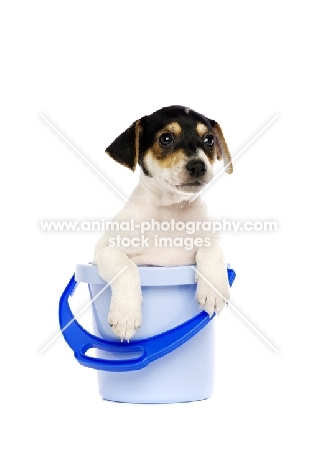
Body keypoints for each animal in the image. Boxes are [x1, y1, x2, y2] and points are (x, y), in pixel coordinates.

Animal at [94, 105, 233, 340]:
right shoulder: (104, 251)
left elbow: (211, 249)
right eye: (166, 138)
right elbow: (127, 267)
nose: (198, 166)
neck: (170, 210)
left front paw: (213, 288)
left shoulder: (211, 239)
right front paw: (126, 314)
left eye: (209, 140)